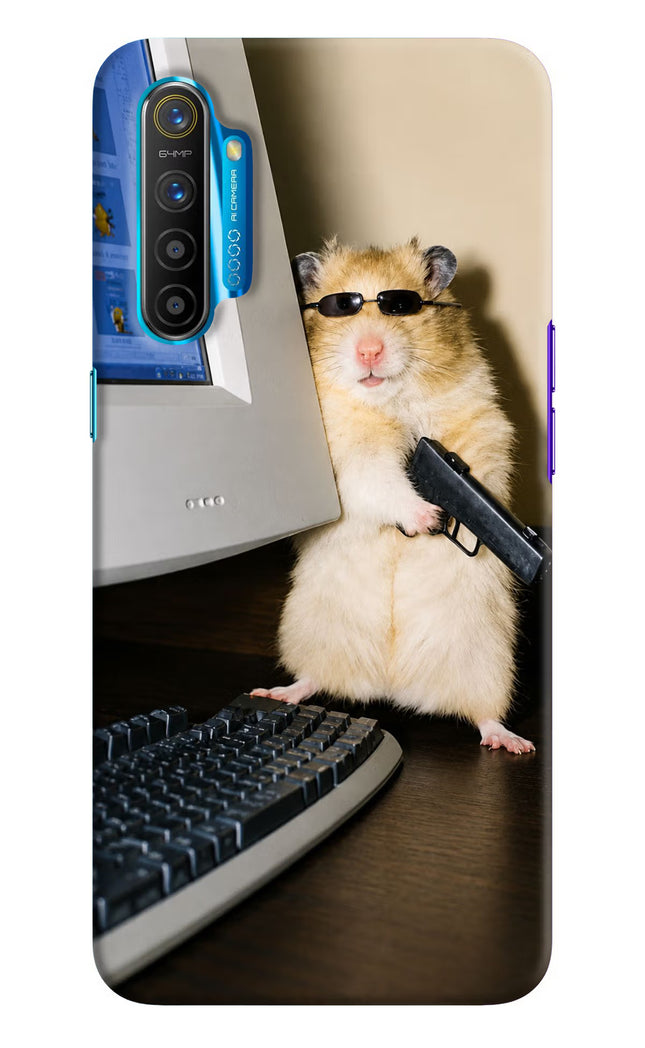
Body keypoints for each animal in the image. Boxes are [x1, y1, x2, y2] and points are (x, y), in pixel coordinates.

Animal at [252, 238, 534, 754]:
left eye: (401, 306)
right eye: (340, 307)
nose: (369, 350)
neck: (389, 401)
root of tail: (392, 686)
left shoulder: (481, 424)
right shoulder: (348, 458)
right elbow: (380, 481)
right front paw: (428, 518)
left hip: (488, 661)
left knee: (484, 714)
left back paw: (513, 742)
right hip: (311, 632)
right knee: (313, 679)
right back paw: (276, 692)